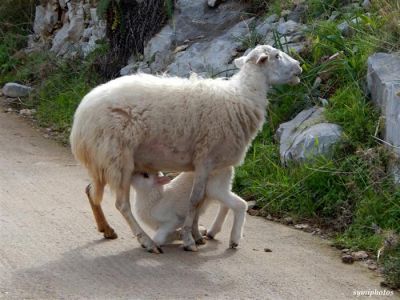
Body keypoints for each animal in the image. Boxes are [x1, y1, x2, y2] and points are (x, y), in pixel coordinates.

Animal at [70, 44, 302, 253]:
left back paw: (107, 229)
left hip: (103, 160)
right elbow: (195, 199)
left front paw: (196, 235)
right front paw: (189, 240)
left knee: (91, 190)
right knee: (122, 204)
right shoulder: (205, 158)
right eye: (277, 55)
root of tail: (80, 118)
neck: (241, 96)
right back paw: (147, 242)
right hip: (117, 157)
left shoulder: (209, 165)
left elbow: (199, 202)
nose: (299, 67)